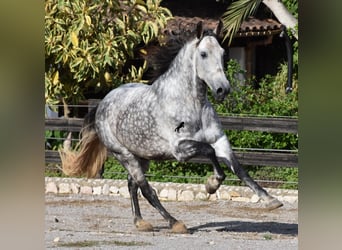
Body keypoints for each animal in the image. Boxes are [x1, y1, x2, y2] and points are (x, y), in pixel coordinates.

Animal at [60, 21, 284, 234]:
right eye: (203, 54)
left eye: (222, 53)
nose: (223, 90)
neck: (191, 104)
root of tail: (103, 104)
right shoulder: (180, 149)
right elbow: (209, 152)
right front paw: (211, 185)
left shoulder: (219, 139)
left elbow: (238, 168)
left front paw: (270, 200)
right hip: (125, 155)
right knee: (146, 189)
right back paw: (175, 223)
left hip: (142, 157)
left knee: (132, 184)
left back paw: (141, 222)